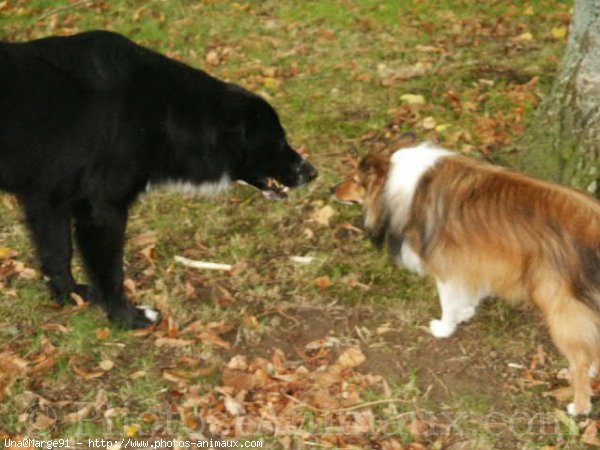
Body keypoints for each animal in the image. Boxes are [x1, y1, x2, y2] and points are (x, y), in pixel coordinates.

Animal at [0, 30, 318, 326]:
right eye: (278, 141)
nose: (312, 172)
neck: (163, 112)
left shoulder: (46, 197)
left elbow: (57, 253)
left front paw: (69, 295)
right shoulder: (101, 209)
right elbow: (110, 272)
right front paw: (127, 318)